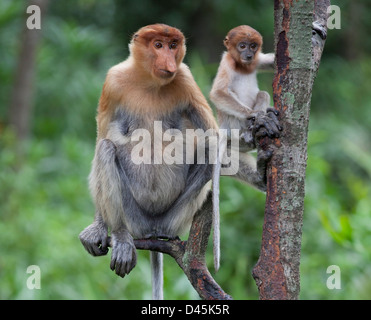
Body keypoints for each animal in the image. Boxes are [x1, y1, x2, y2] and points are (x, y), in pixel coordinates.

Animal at [211, 25, 284, 270]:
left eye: (253, 46)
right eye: (242, 45)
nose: (249, 55)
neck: (241, 66)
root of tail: (224, 129)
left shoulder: (257, 62)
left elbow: (272, 61)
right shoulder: (226, 63)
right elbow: (218, 93)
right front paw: (256, 116)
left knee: (262, 93)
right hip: (231, 124)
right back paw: (254, 126)